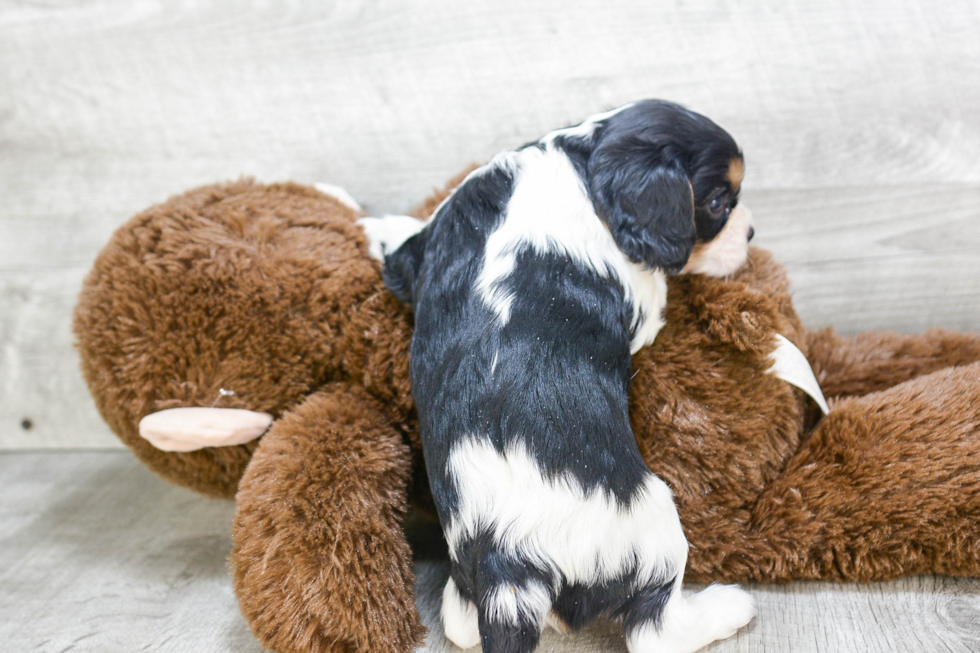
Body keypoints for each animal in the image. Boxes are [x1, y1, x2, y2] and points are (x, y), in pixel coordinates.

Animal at [364, 100, 756, 652]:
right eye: (719, 201)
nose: (751, 233)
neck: (579, 158)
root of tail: (509, 564)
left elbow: (403, 249)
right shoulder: (641, 299)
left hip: (468, 576)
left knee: (460, 625)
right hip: (653, 526)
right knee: (656, 628)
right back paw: (728, 608)